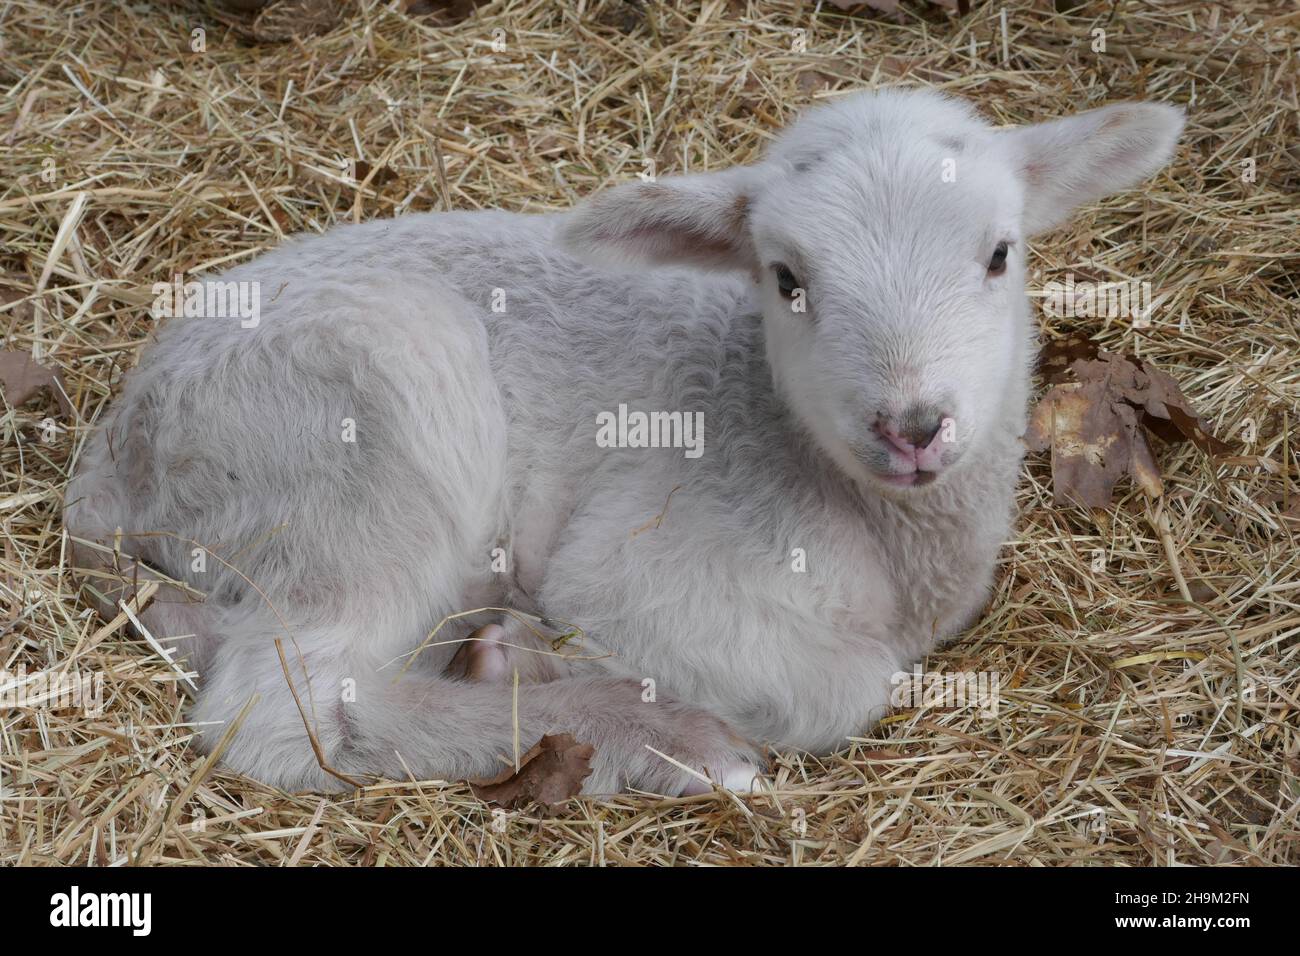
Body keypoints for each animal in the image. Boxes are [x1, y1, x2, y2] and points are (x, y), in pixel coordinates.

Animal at [68, 87, 1190, 790]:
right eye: (786, 278)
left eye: (1000, 254)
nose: (913, 426)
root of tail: (121, 437)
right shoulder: (645, 564)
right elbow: (839, 686)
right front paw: (546, 659)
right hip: (369, 437)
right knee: (284, 709)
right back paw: (650, 733)